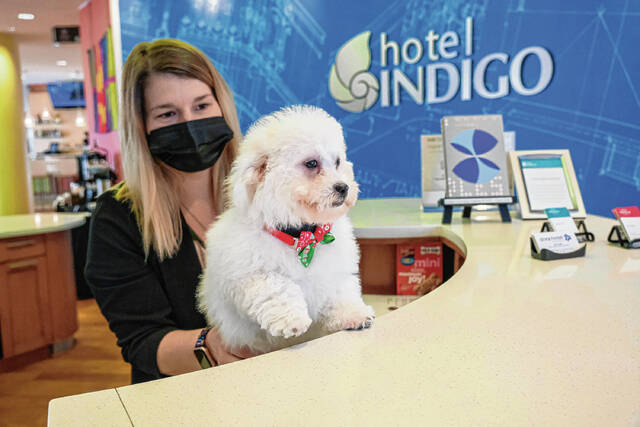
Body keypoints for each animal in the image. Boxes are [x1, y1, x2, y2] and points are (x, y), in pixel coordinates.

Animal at [197, 105, 374, 354]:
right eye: (312, 164)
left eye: (338, 162)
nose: (343, 187)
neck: (301, 235)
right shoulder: (251, 273)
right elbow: (278, 288)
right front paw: (292, 320)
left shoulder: (333, 270)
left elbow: (339, 291)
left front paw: (353, 314)